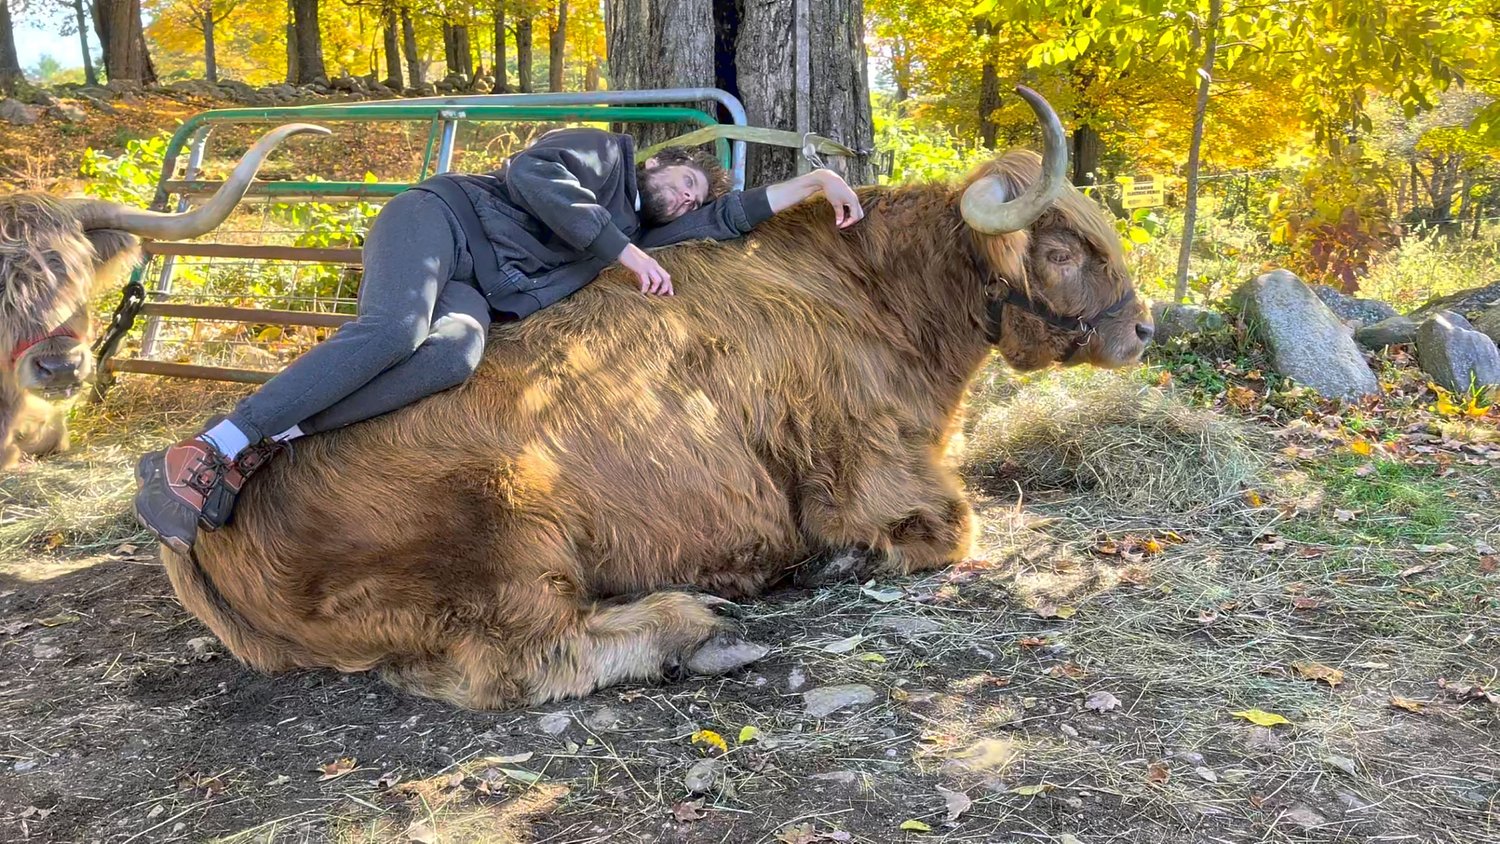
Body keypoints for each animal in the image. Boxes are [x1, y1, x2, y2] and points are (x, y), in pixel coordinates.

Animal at [157, 88, 1154, 710]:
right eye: (1060, 249)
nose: (1143, 329)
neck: (870, 291)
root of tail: (213, 525)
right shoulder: (867, 472)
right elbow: (951, 525)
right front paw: (830, 563)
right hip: (509, 538)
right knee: (520, 662)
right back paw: (697, 627)